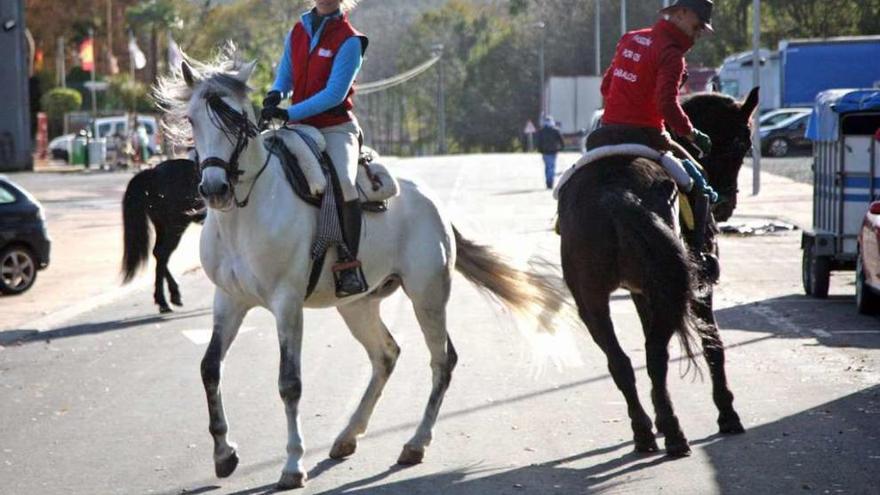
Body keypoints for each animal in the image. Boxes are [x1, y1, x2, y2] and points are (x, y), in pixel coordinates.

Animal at [121, 159, 204, 314]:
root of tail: (154, 172)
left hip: (161, 226)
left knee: (158, 253)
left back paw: (170, 297)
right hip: (175, 226)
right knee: (162, 254)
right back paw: (164, 301)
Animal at [156, 52, 572, 490]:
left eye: (238, 120)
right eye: (192, 120)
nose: (214, 189)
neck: (247, 211)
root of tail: (430, 199)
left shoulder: (287, 304)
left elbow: (289, 382)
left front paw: (293, 464)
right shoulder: (229, 301)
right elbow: (210, 368)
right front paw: (224, 453)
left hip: (427, 297)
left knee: (442, 361)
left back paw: (415, 443)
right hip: (357, 305)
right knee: (386, 354)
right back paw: (348, 435)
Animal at [560, 88, 760, 458]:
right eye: (743, 144)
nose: (726, 205)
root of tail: (614, 195)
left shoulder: (641, 291)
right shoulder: (699, 286)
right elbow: (713, 344)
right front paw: (727, 413)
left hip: (591, 300)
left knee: (621, 361)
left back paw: (644, 430)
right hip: (670, 288)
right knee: (655, 355)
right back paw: (674, 432)